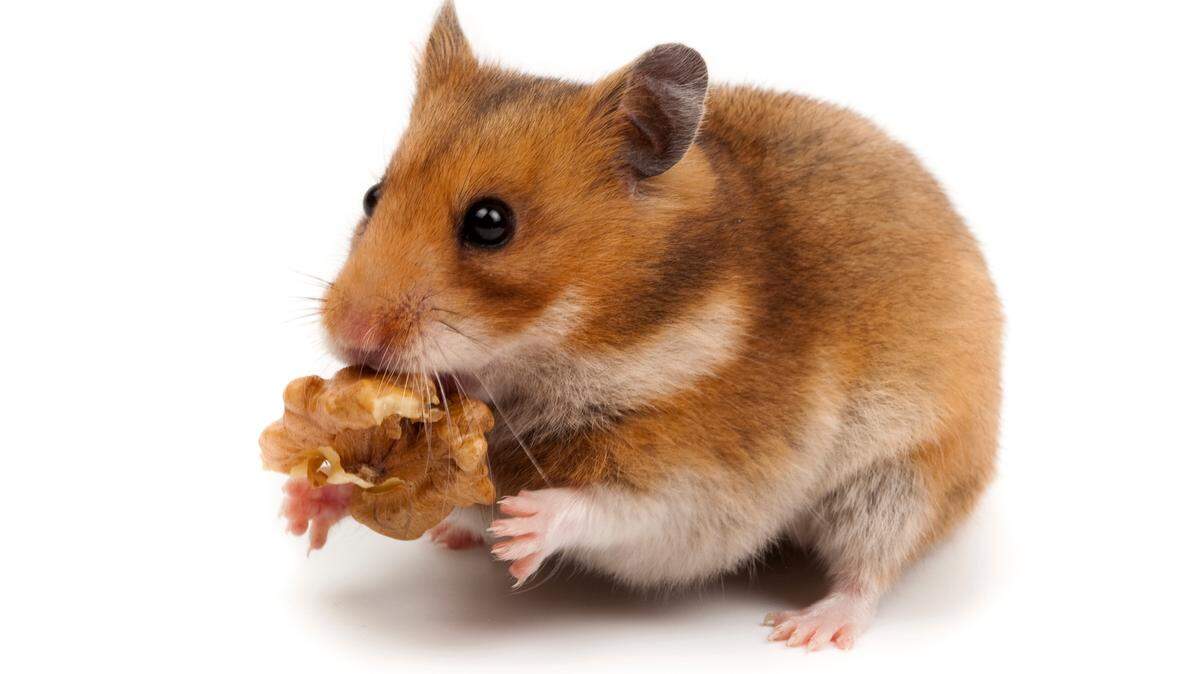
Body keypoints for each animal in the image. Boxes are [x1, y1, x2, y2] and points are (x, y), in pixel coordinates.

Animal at [290, 1, 1002, 651]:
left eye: (490, 222)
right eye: (372, 196)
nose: (348, 334)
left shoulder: (710, 477)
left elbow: (618, 506)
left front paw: (520, 529)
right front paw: (303, 505)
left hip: (904, 479)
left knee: (872, 569)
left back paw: (804, 630)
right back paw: (446, 534)